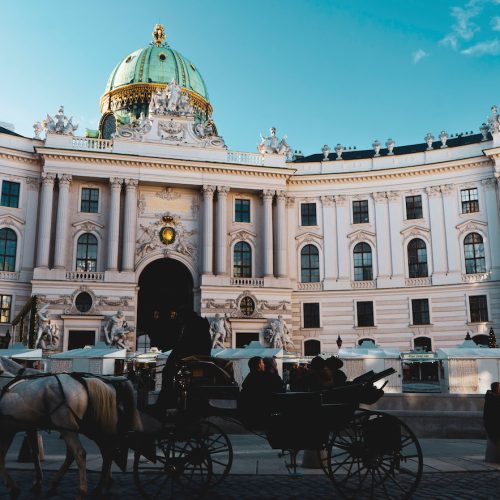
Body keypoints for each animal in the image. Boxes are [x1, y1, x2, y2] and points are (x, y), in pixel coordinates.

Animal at [0, 358, 144, 498]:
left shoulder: (10, 429)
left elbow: (3, 457)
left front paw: (16, 486)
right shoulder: (25, 428)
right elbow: (33, 453)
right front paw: (35, 482)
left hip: (69, 427)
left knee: (81, 452)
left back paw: (83, 490)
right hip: (83, 428)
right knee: (101, 451)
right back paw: (97, 486)